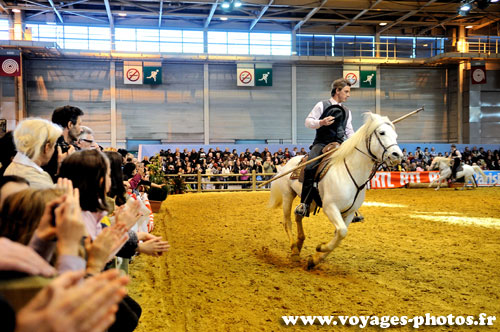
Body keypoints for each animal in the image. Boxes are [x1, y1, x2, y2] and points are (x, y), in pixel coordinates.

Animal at [270, 113, 402, 268]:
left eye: (396, 135)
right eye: (382, 133)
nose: (397, 155)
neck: (349, 172)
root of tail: (286, 165)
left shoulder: (349, 213)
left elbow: (339, 235)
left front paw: (315, 258)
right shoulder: (330, 207)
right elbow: (342, 232)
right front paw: (320, 248)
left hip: (310, 201)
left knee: (298, 216)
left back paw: (300, 242)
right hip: (287, 195)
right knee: (287, 222)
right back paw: (294, 250)